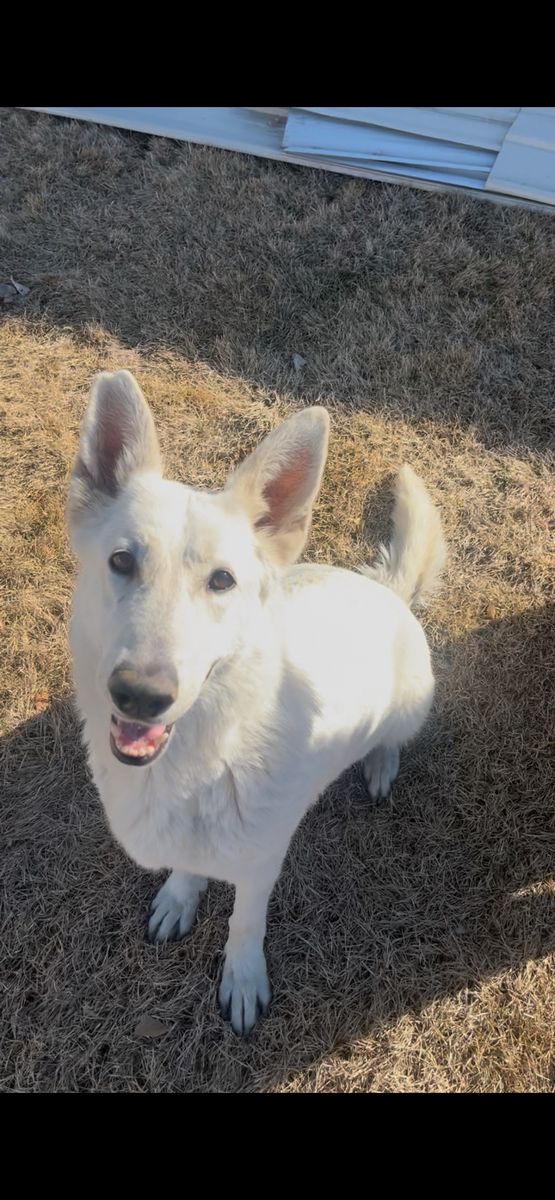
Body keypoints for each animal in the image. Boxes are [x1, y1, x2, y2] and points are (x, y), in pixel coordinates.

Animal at [67, 370, 446, 1035]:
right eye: (121, 561)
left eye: (222, 581)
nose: (140, 696)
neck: (202, 758)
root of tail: (386, 590)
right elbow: (187, 866)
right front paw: (181, 895)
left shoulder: (260, 863)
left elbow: (244, 923)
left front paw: (242, 979)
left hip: (410, 703)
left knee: (394, 741)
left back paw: (380, 763)